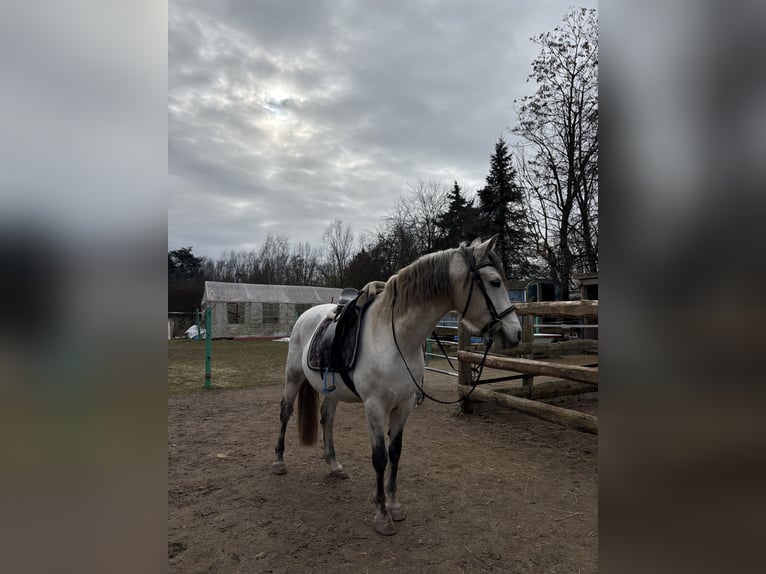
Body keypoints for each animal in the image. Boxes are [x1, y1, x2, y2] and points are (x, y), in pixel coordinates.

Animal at [271, 235, 522, 535]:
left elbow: (395, 452)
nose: (516, 332)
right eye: (495, 282)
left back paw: (334, 465)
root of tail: (307, 314)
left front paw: (394, 505)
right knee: (285, 412)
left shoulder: (404, 405)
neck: (397, 338)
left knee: (327, 419)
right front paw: (382, 515)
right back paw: (279, 461)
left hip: (331, 389)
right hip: (293, 377)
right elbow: (379, 457)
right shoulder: (375, 406)